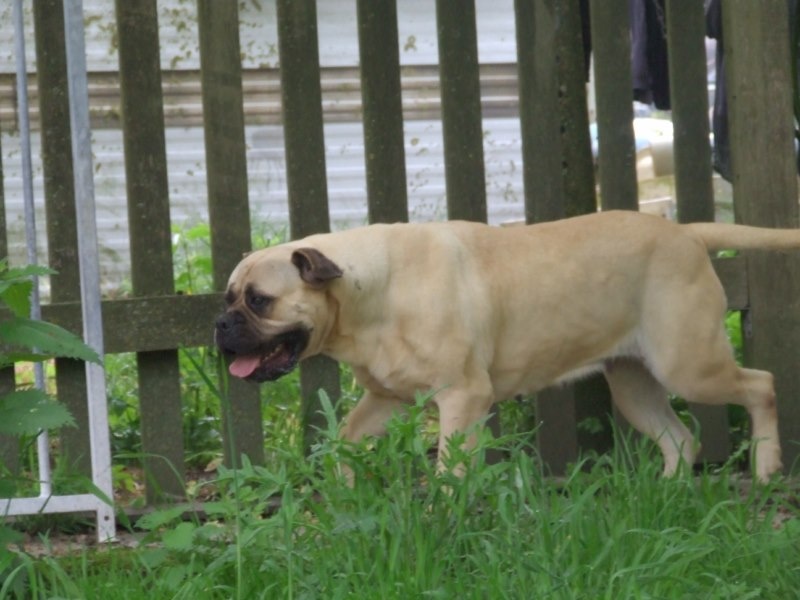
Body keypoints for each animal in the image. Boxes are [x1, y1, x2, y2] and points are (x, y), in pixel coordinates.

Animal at [217, 209, 800, 480]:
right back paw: (666, 491)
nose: (221, 325)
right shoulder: (386, 400)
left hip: (690, 365)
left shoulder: (461, 398)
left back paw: (766, 465)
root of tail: (687, 231)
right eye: (227, 297)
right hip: (635, 385)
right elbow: (344, 440)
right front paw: (344, 485)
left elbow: (448, 469)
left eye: (259, 300)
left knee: (762, 384)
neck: (369, 290)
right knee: (680, 440)